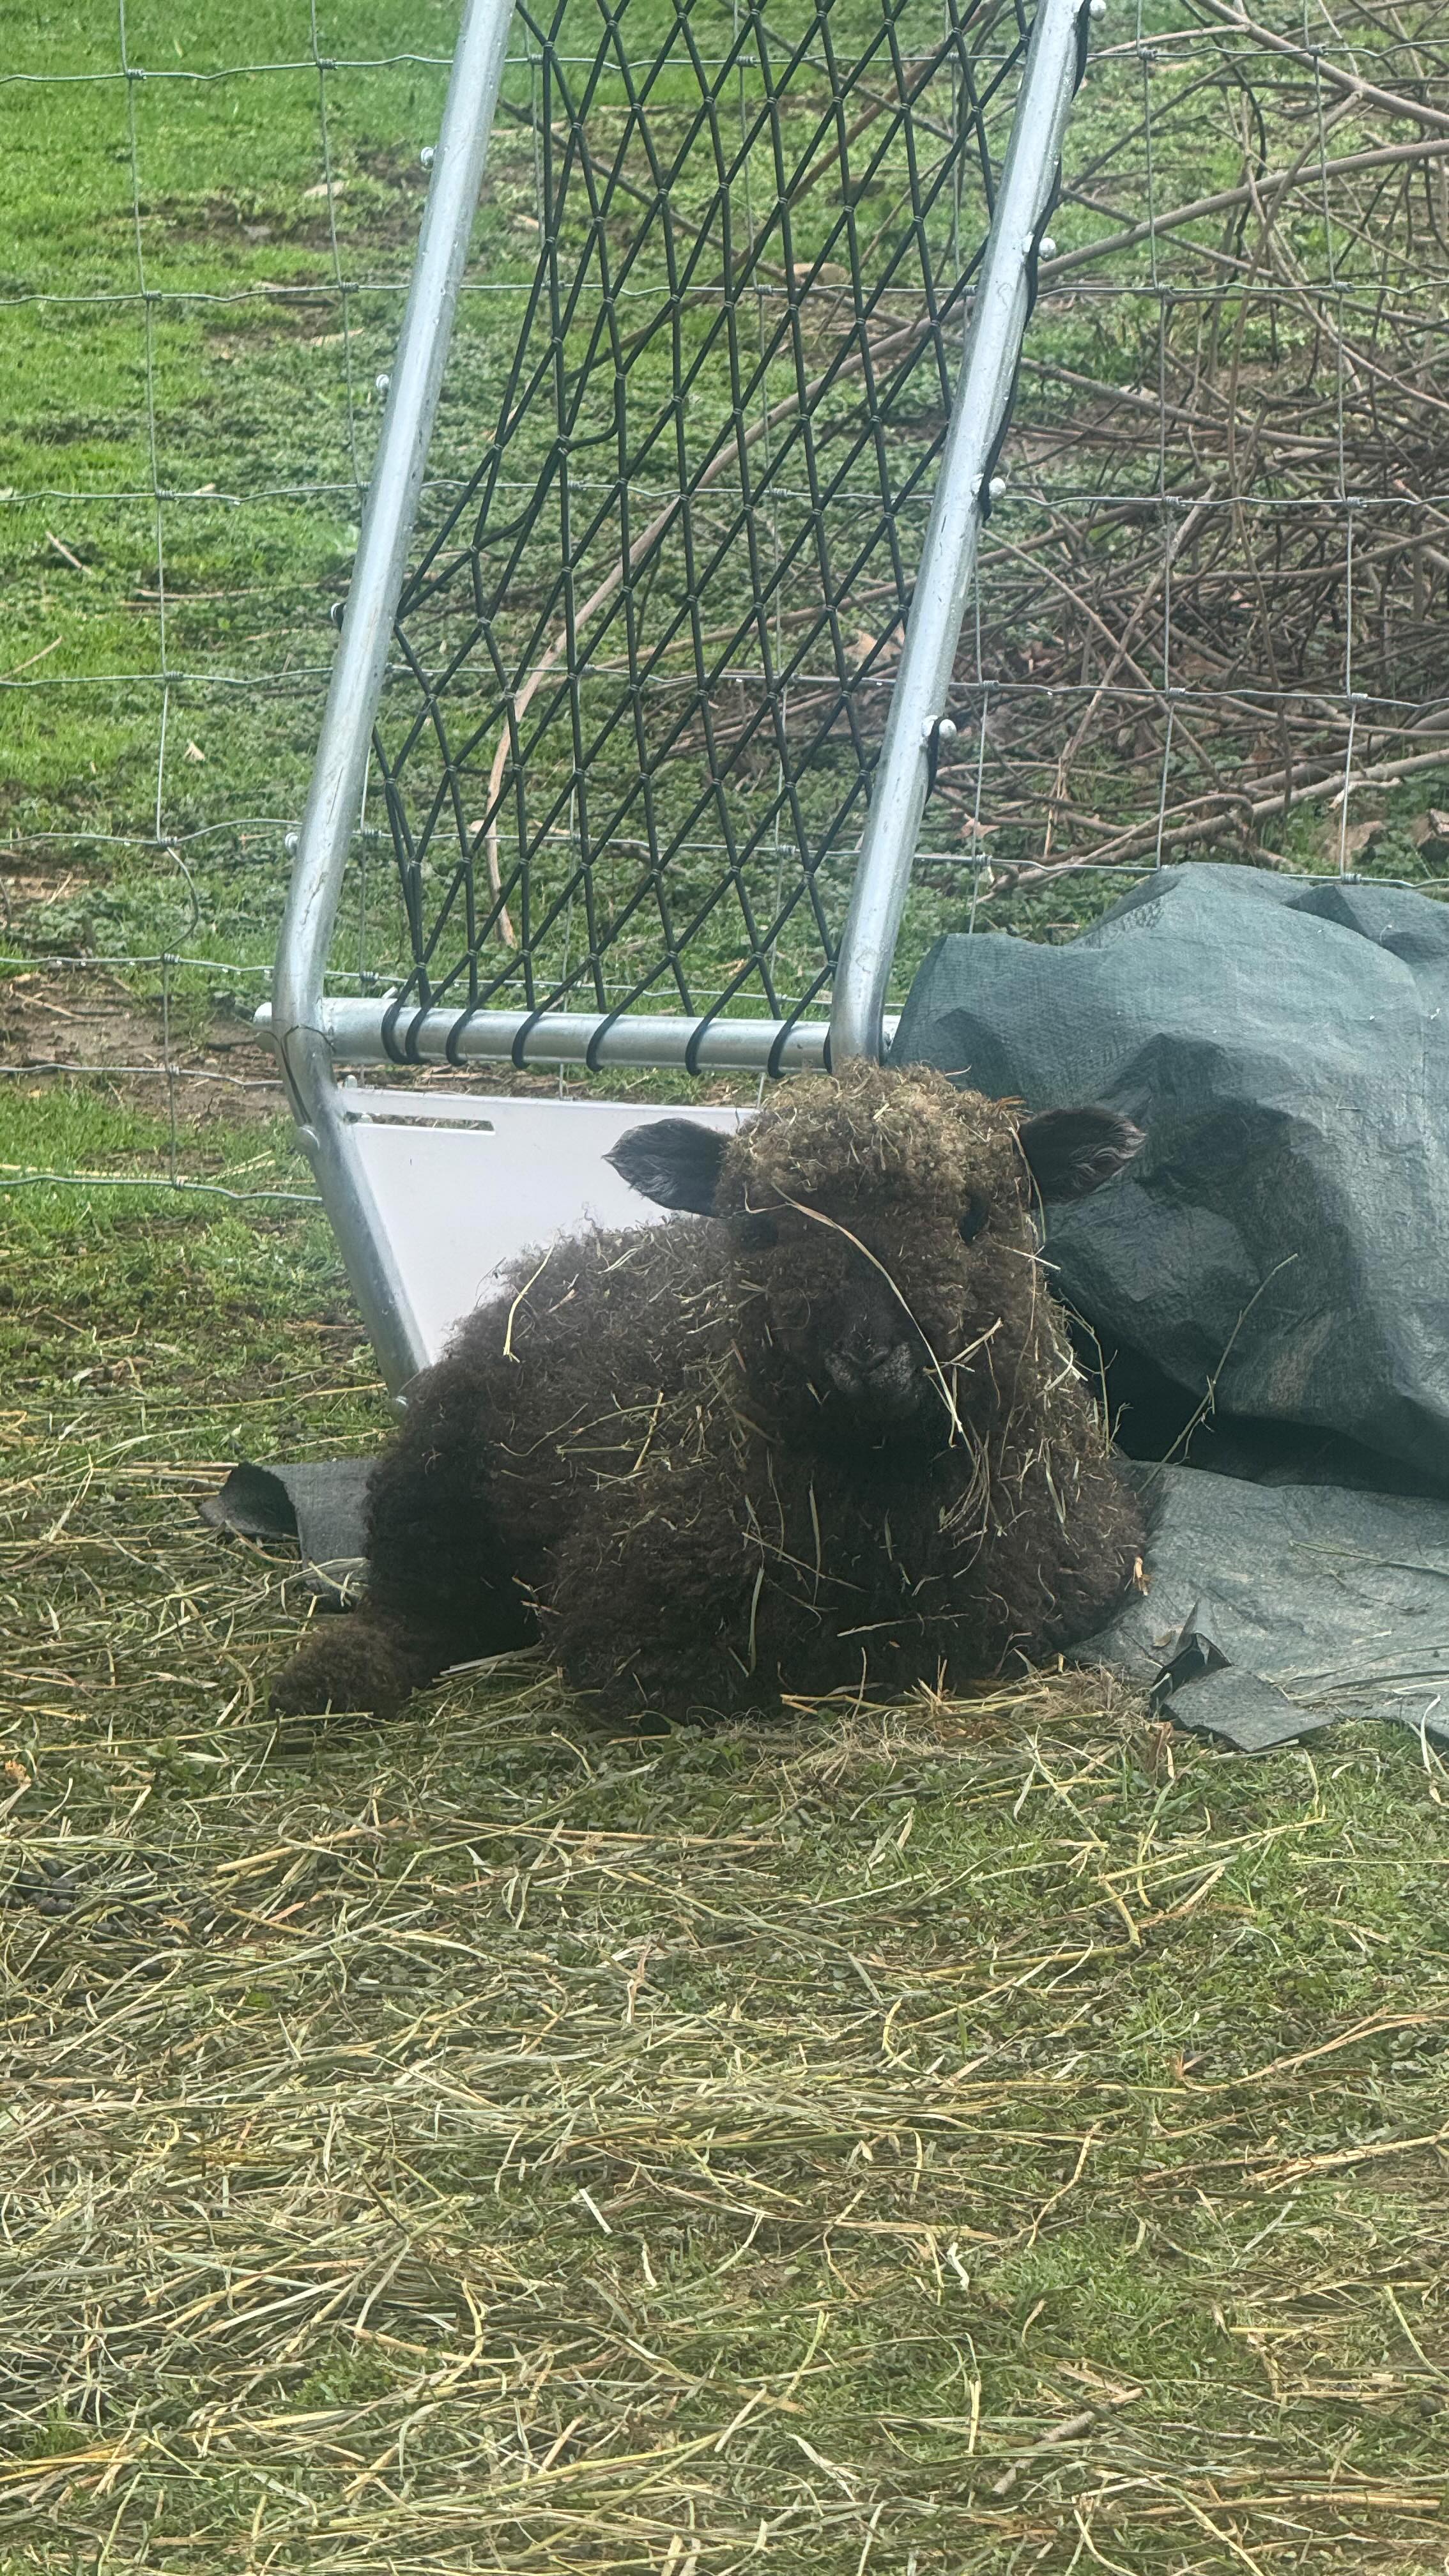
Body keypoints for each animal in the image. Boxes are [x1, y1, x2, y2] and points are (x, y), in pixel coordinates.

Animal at [271, 1062, 1146, 1726]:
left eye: (976, 1214)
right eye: (757, 1227)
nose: (869, 1354)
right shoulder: (632, 1630)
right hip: (438, 1467)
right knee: (412, 1597)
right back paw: (328, 1682)